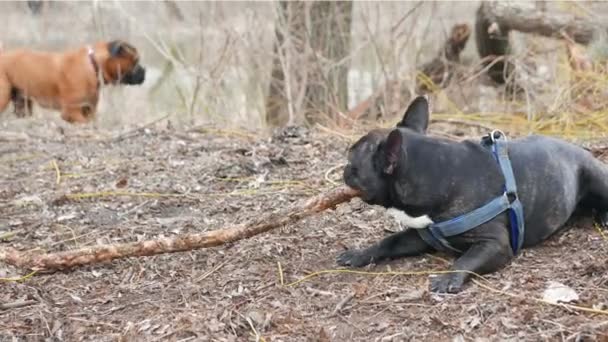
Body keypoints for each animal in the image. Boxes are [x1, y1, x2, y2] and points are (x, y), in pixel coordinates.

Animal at [0, 40, 145, 123]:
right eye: (135, 61)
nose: (144, 72)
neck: (93, 64)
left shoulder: (89, 110)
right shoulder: (71, 112)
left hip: (22, 103)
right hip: (4, 96)